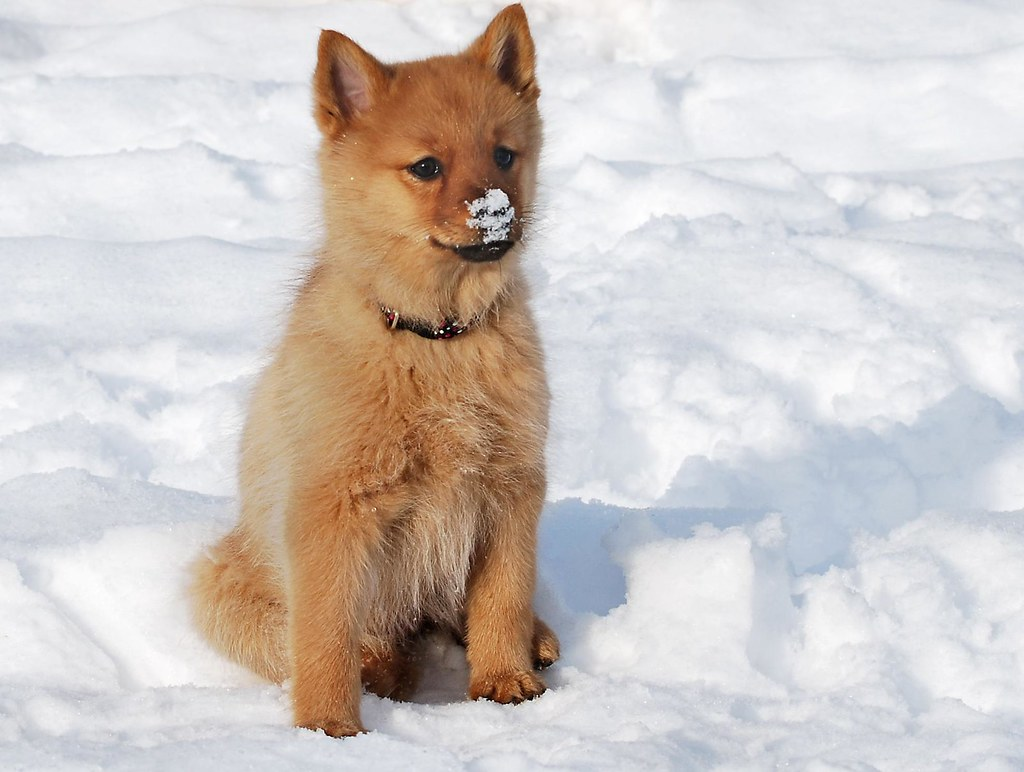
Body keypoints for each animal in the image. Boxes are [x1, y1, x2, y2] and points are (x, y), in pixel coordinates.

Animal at [192, 3, 561, 733]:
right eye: (426, 166)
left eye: (505, 154)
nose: (498, 215)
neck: (437, 340)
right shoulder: (332, 509)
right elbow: (326, 631)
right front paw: (329, 727)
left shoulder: (510, 489)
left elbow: (502, 598)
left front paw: (505, 681)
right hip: (221, 585)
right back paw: (382, 670)